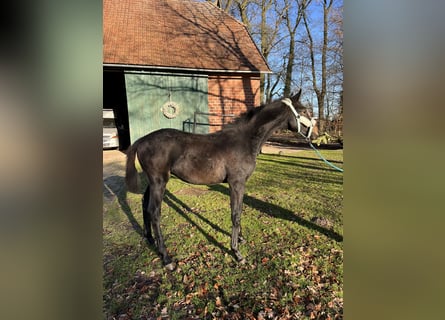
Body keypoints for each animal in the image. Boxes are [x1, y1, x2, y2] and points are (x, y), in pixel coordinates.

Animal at [125, 90, 318, 270]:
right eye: (303, 110)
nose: (315, 135)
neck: (244, 141)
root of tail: (141, 140)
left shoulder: (241, 185)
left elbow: (240, 210)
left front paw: (240, 239)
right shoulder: (236, 183)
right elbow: (235, 214)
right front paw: (237, 253)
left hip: (153, 182)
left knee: (145, 204)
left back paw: (149, 239)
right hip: (159, 182)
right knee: (154, 212)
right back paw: (166, 259)